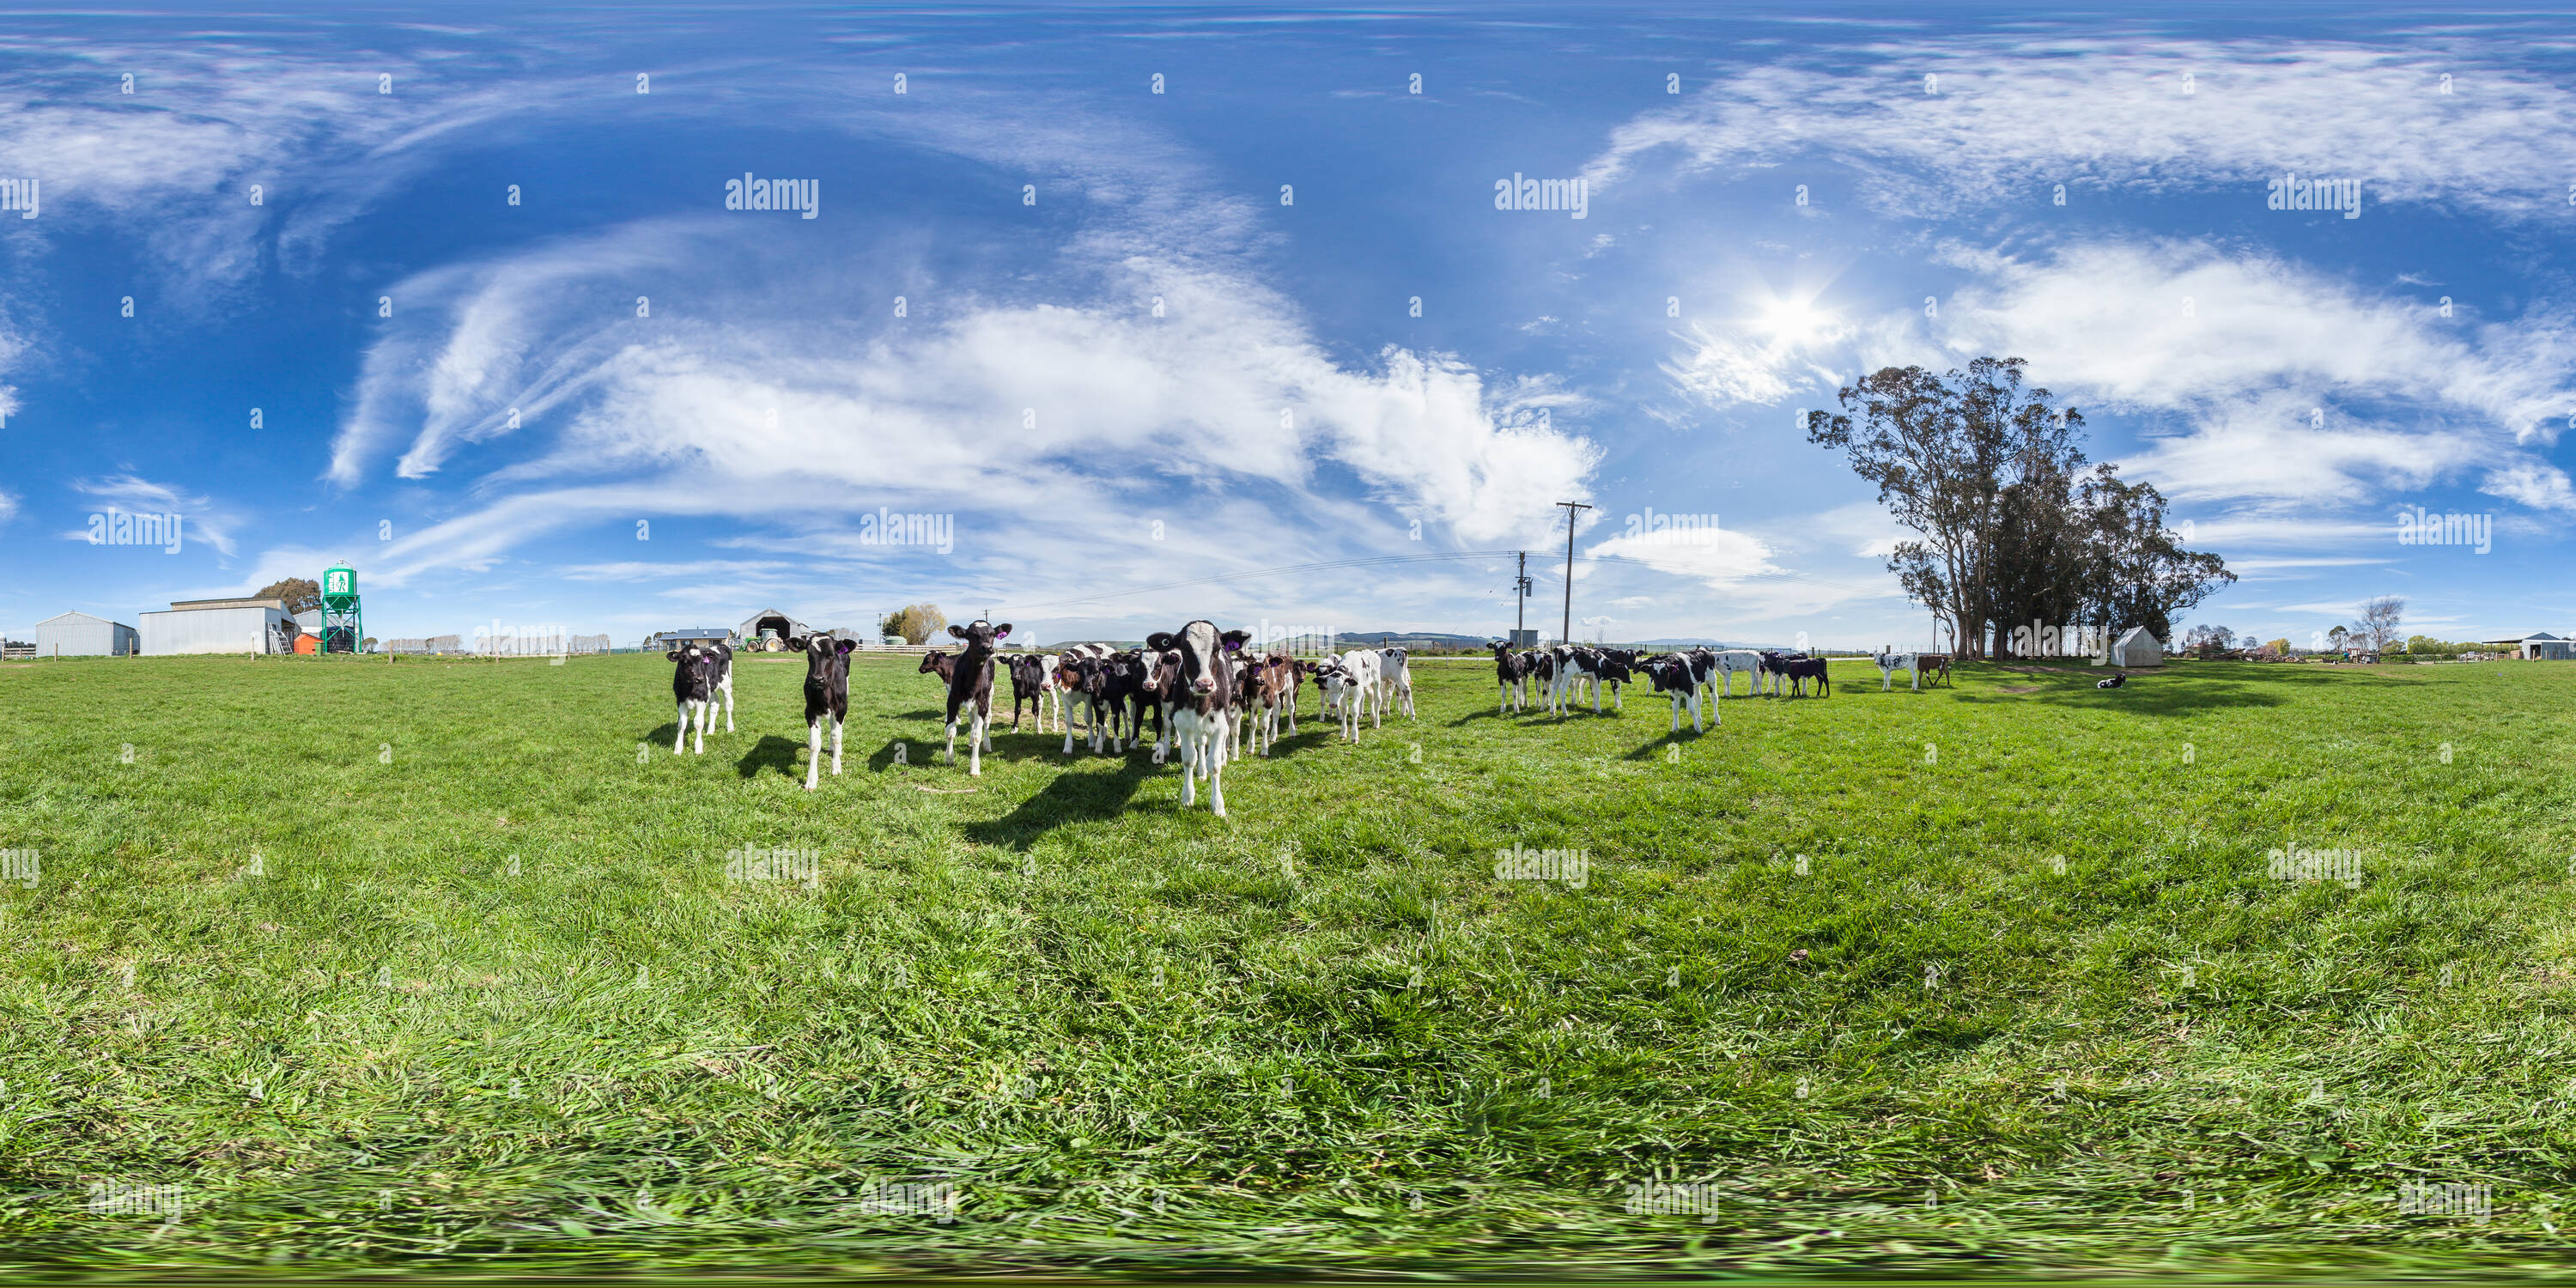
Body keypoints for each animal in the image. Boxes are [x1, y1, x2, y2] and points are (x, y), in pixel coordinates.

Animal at [665, 641, 737, 752]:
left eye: (702, 661)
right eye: (684, 660)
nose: (700, 679)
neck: (688, 688)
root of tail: (719, 646)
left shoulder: (701, 699)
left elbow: (698, 723)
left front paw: (698, 748)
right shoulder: (680, 700)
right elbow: (681, 724)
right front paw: (678, 749)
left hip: (726, 684)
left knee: (728, 705)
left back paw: (730, 728)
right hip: (711, 688)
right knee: (715, 704)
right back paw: (710, 731)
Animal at [783, 631, 855, 783]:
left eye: (831, 654)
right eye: (808, 654)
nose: (817, 679)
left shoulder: (841, 709)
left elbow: (837, 736)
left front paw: (836, 767)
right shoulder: (810, 711)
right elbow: (815, 744)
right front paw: (811, 780)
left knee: (836, 729)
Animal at [943, 618, 1010, 768]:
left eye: (992, 634)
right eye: (971, 635)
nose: (987, 648)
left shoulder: (982, 703)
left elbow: (977, 736)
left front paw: (974, 766)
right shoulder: (952, 699)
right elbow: (950, 731)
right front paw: (949, 758)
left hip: (990, 695)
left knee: (987, 720)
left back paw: (987, 744)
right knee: (972, 721)